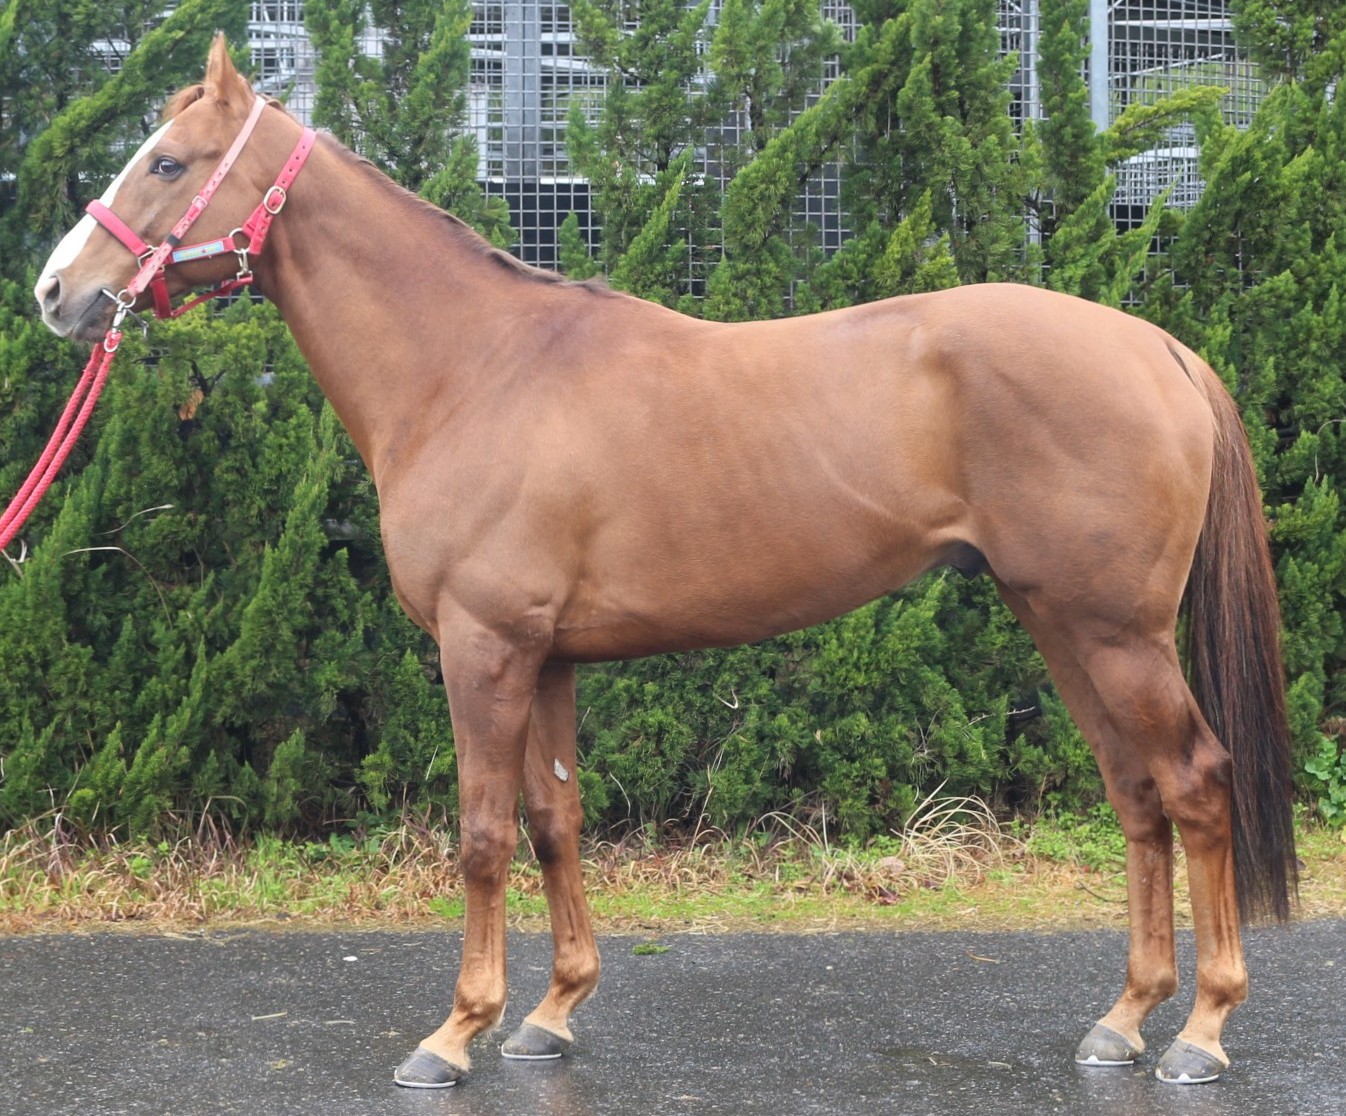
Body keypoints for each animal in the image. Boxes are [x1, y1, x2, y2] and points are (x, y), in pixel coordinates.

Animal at [33, 36, 1295, 1088]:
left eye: (167, 161)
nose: (56, 291)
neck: (473, 369)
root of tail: (1159, 347)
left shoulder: (482, 649)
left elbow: (483, 835)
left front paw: (455, 1032)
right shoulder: (544, 657)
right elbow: (555, 821)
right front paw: (548, 1017)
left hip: (1112, 632)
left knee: (1193, 784)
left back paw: (1199, 1032)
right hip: (1061, 622)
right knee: (1134, 793)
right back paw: (1122, 1020)